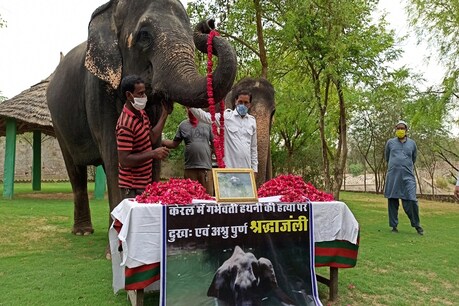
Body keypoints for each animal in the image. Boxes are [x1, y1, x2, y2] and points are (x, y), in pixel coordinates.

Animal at [46, 0, 237, 237]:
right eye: (144, 35)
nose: (209, 24)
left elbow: (151, 145)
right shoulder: (97, 89)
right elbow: (116, 153)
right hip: (57, 123)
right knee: (75, 171)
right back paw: (83, 232)